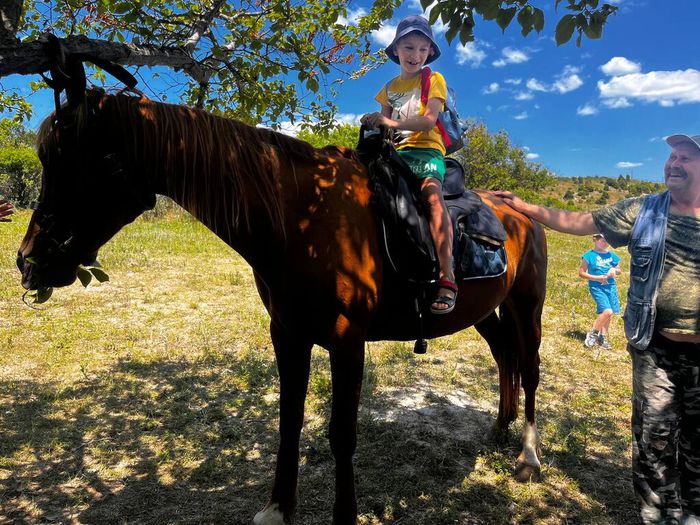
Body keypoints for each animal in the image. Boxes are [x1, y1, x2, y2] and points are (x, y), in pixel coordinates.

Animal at [16, 90, 548, 524]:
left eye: (95, 162)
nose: (29, 260)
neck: (302, 219)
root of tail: (518, 208)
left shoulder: (347, 341)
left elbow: (341, 434)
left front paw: (344, 515)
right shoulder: (288, 333)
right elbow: (289, 418)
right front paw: (278, 507)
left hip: (527, 306)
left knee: (530, 367)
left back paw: (527, 458)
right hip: (484, 312)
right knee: (504, 355)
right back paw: (499, 427)